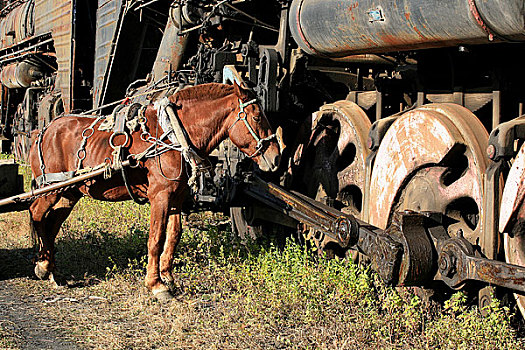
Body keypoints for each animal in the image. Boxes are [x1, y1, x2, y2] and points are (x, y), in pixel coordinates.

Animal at [28, 82, 280, 300]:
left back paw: (51, 268)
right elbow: (156, 238)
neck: (174, 134)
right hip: (50, 190)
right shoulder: (160, 196)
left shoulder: (177, 197)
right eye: (257, 116)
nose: (276, 157)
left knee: (52, 223)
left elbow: (174, 235)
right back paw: (43, 266)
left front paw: (168, 277)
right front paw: (156, 284)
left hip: (69, 192)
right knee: (37, 214)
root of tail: (44, 131)